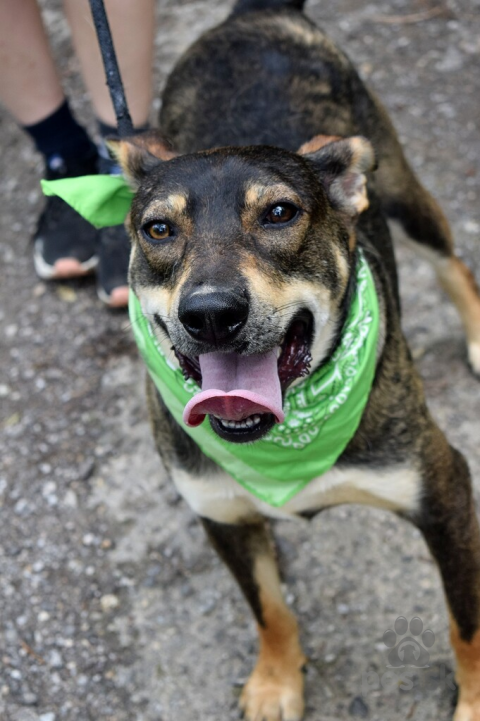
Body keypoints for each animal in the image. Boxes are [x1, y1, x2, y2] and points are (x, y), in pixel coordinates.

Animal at [108, 1, 480, 720]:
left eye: (280, 213)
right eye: (157, 229)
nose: (210, 313)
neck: (282, 441)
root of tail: (259, 11)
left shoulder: (445, 488)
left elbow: (466, 623)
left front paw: (475, 700)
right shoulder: (218, 511)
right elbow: (269, 609)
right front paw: (277, 681)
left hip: (399, 189)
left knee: (451, 260)